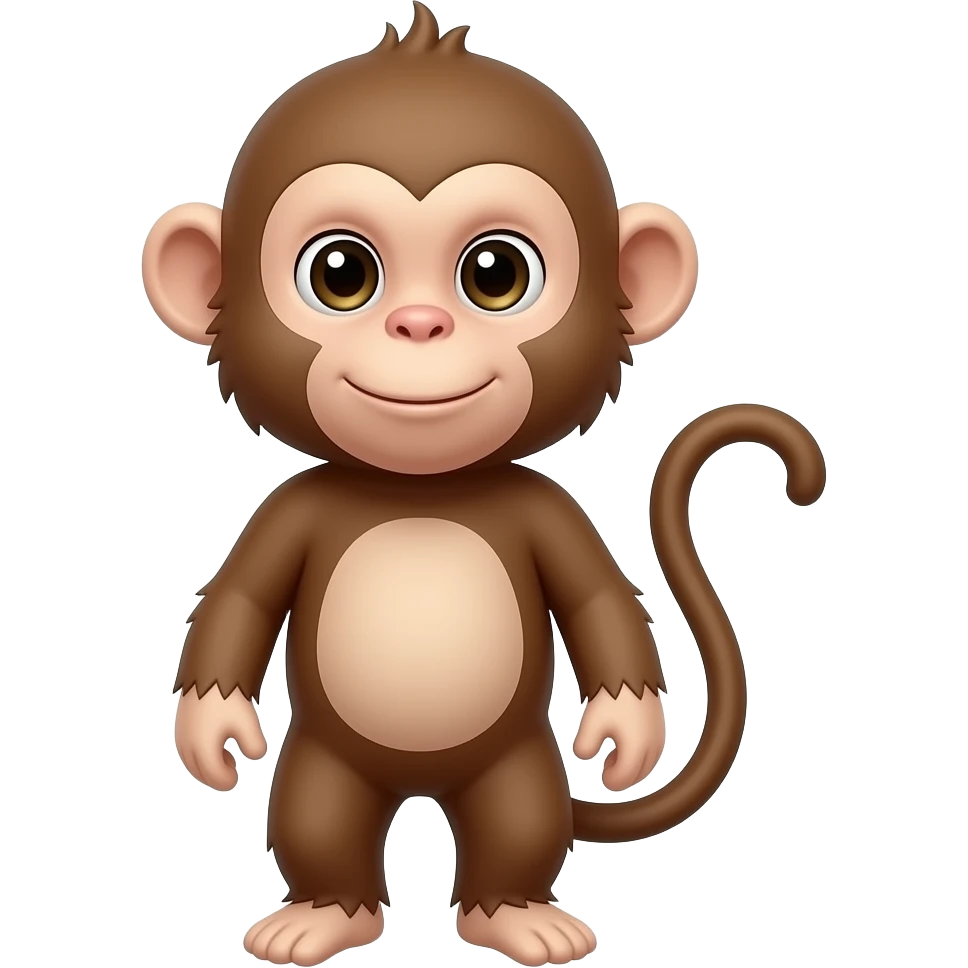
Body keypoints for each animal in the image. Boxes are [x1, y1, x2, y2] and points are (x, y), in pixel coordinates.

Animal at [143, 4, 827, 966]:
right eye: (340, 274)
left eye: (495, 274)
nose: (420, 324)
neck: (421, 491)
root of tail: (423, 784)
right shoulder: (287, 510)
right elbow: (238, 597)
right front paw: (214, 733)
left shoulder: (549, 511)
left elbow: (599, 599)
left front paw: (623, 734)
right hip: (326, 762)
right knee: (318, 818)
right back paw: (323, 915)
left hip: (517, 764)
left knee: (519, 824)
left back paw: (519, 916)